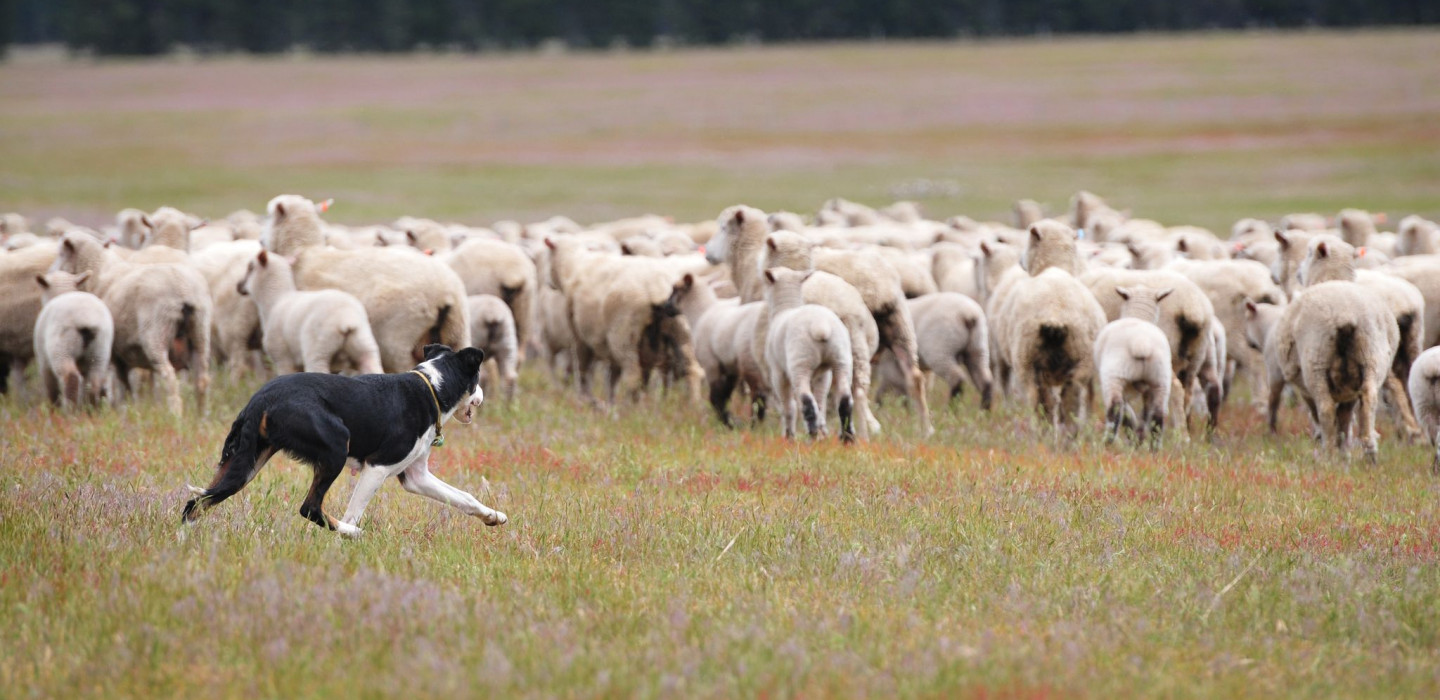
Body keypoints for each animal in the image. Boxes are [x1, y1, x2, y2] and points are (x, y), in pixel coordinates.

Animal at [33, 270, 113, 406]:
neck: (63, 292)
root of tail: (87, 319)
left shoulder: (44, 361)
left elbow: (52, 390)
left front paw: (53, 408)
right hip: (100, 350)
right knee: (94, 382)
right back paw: (91, 408)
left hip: (62, 348)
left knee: (71, 377)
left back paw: (71, 408)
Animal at [51, 231, 210, 414]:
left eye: (61, 253)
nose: (51, 273)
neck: (97, 276)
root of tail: (183, 290)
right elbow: (140, 386)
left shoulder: (115, 355)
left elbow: (124, 388)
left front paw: (126, 411)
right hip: (200, 332)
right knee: (202, 379)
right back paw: (201, 415)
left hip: (156, 333)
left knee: (169, 376)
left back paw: (175, 414)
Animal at [182, 344, 506, 535]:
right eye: (477, 380)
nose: (482, 396)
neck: (432, 389)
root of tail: (261, 400)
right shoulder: (378, 466)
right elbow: (354, 512)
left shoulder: (416, 476)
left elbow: (464, 497)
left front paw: (493, 516)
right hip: (336, 447)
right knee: (310, 508)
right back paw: (351, 534)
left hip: (246, 463)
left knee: (195, 503)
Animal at [264, 194, 472, 371]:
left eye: (268, 215)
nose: (261, 241)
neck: (304, 253)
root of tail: (445, 294)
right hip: (457, 332)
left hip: (398, 342)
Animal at [766, 267, 852, 443]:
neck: (785, 307)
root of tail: (820, 326)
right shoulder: (823, 374)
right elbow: (821, 402)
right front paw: (823, 433)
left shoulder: (777, 372)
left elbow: (789, 406)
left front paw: (789, 436)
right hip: (841, 360)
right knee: (844, 400)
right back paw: (847, 438)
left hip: (800, 363)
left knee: (806, 401)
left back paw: (811, 436)